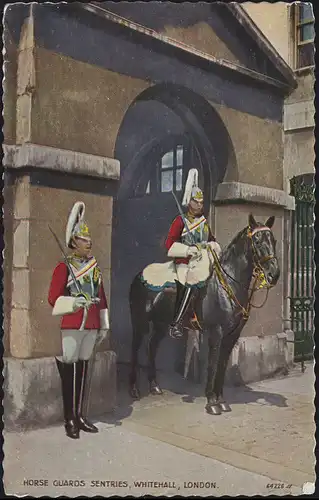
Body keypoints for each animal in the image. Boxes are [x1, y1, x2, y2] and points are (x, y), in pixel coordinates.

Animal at [129, 214, 282, 414]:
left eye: (274, 240)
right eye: (257, 241)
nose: (274, 274)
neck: (228, 284)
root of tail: (140, 274)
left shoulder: (232, 335)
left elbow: (222, 366)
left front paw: (221, 400)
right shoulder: (216, 332)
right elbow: (212, 365)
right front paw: (211, 402)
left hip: (161, 324)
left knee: (151, 347)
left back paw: (154, 386)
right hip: (140, 322)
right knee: (135, 348)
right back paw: (134, 389)